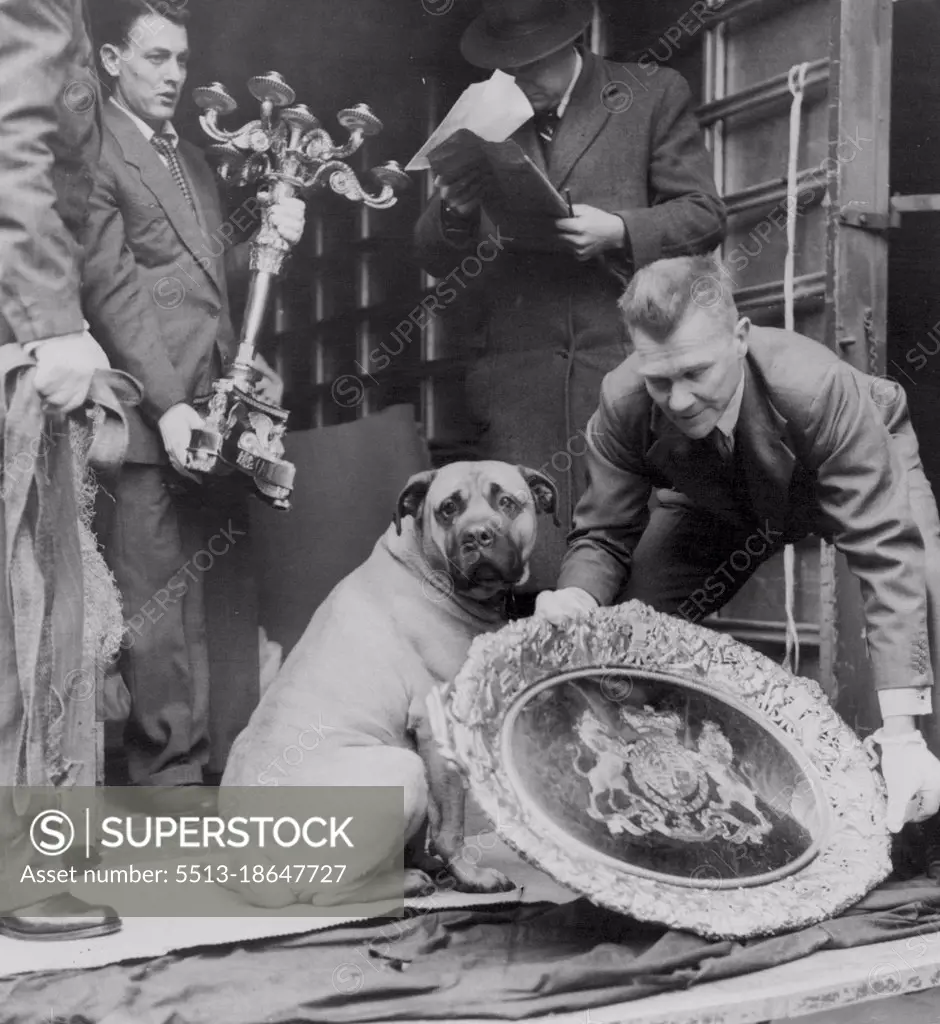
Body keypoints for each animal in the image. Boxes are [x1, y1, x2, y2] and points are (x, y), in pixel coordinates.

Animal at [221, 462, 561, 905]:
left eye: (506, 501)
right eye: (448, 509)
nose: (477, 536)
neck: (424, 568)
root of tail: (248, 858)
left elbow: (431, 823)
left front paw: (431, 862)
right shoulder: (436, 732)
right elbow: (451, 824)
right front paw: (470, 876)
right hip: (404, 769)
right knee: (326, 893)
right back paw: (405, 884)